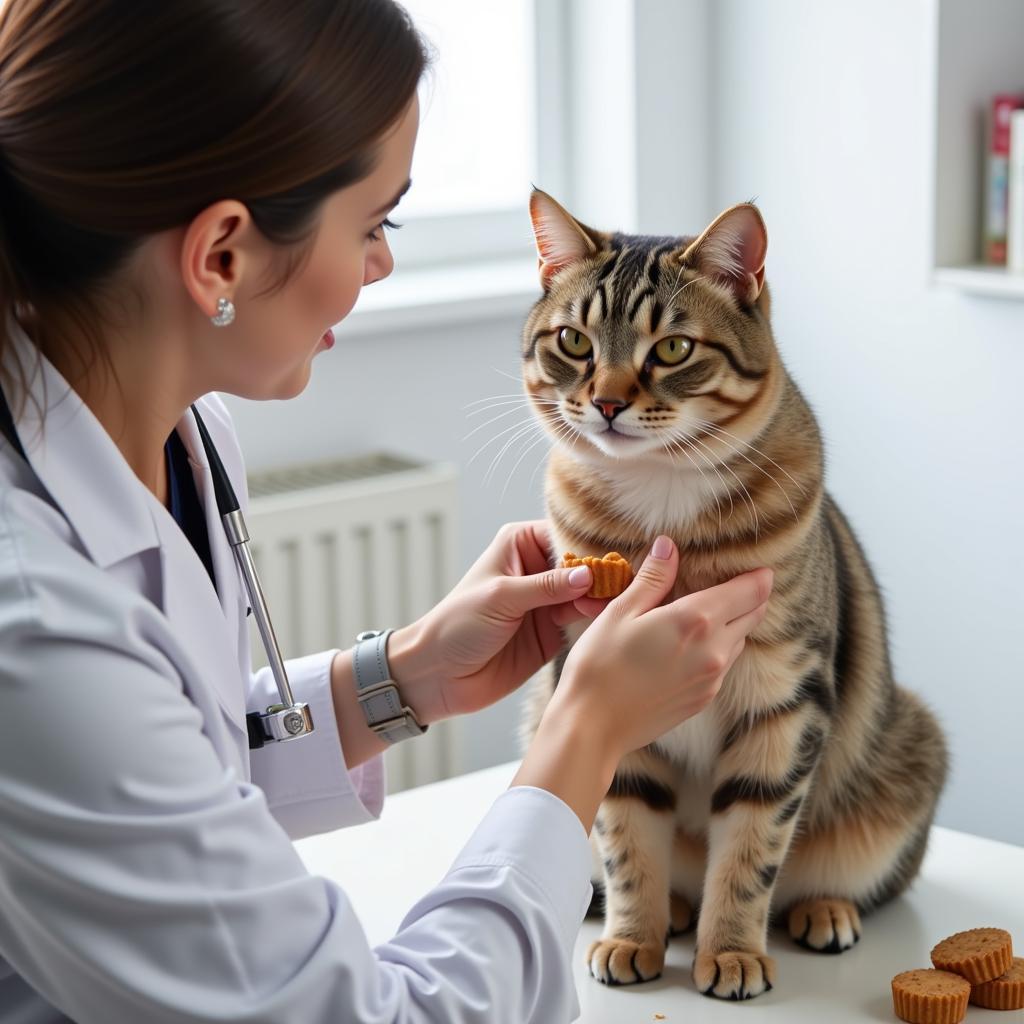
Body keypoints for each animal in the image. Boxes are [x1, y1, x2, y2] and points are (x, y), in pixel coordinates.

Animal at [520, 190, 950, 999]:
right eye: (572, 340)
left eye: (672, 350)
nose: (607, 404)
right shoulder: (597, 693)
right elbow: (628, 839)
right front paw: (633, 937)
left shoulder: (784, 699)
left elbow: (752, 847)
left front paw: (732, 953)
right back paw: (676, 910)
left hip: (904, 762)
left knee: (836, 876)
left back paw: (822, 911)